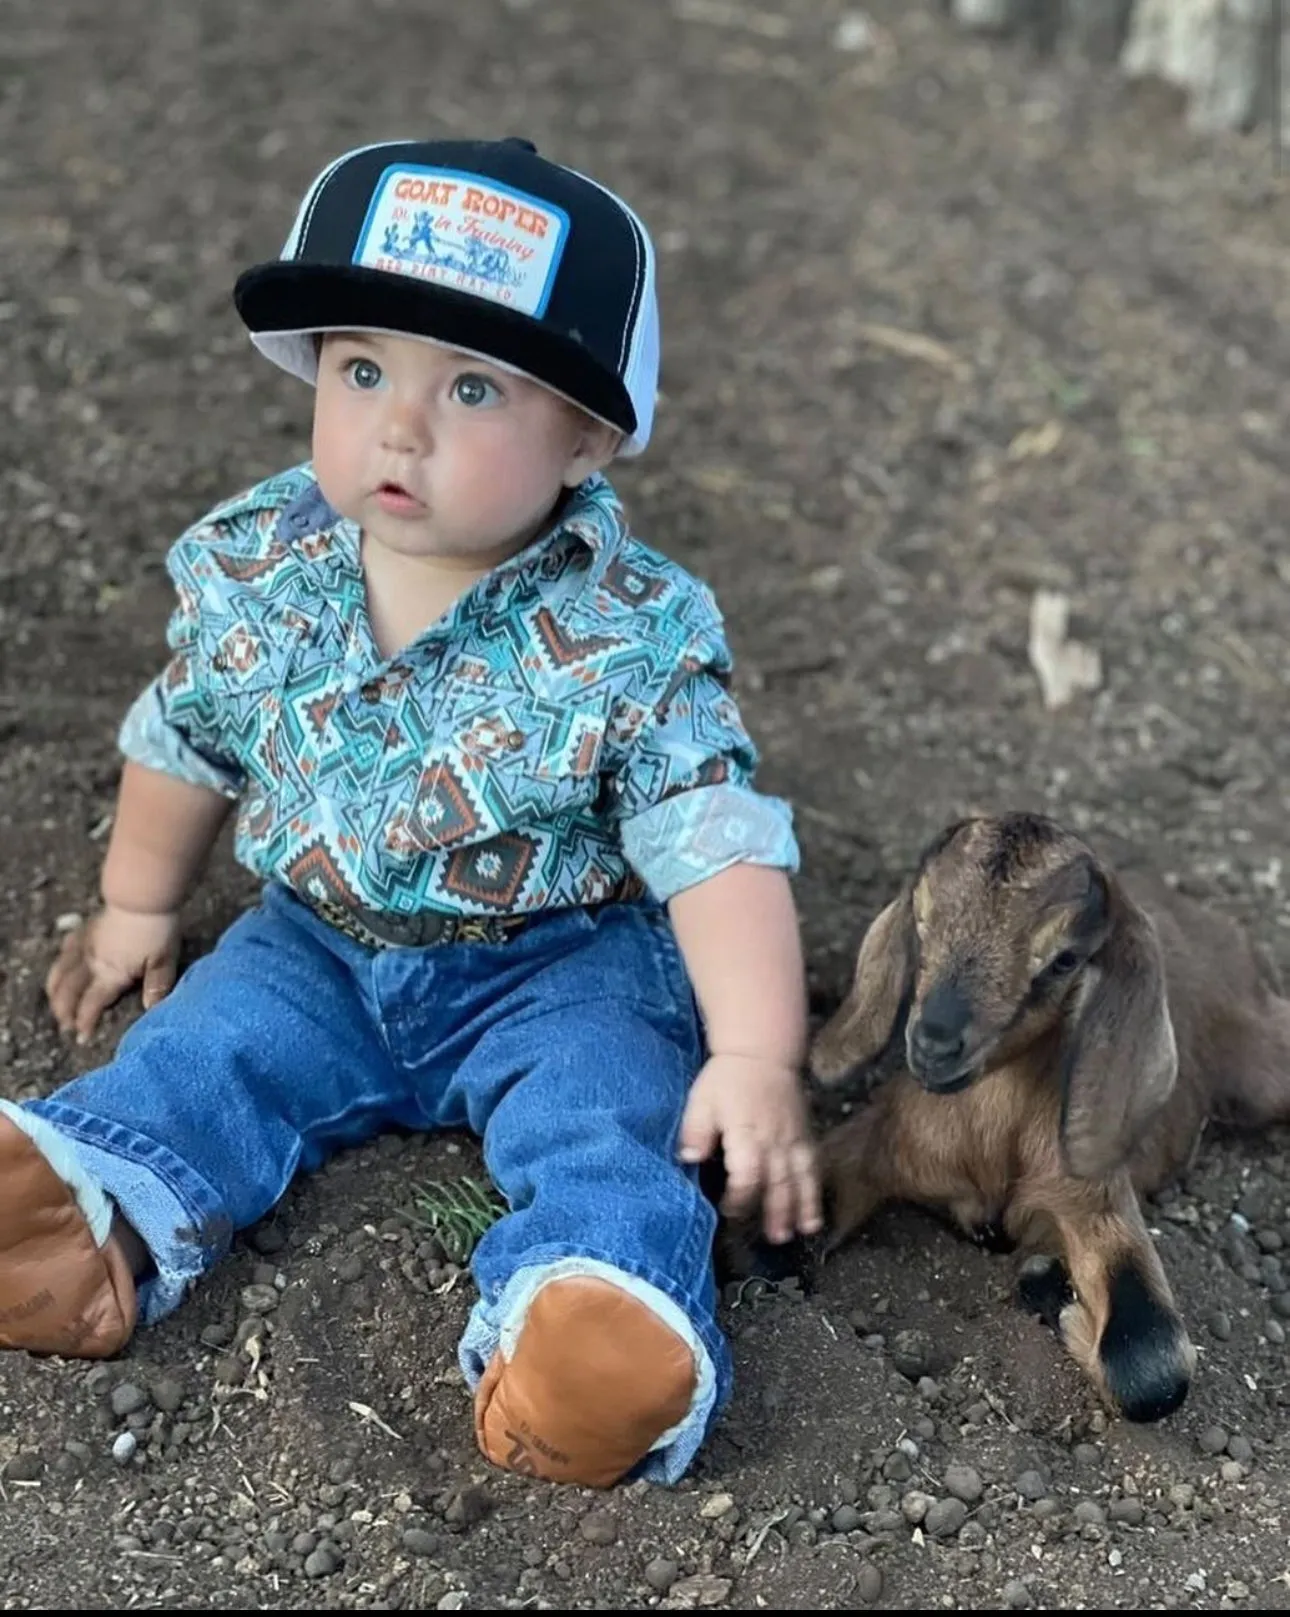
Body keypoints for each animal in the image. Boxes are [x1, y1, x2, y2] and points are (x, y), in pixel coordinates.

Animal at [814, 814, 1290, 1422]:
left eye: (1064, 960)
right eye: (921, 920)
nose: (934, 1046)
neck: (993, 1143)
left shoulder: (1090, 1199)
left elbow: (1150, 1363)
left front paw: (1054, 1290)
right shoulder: (880, 1140)